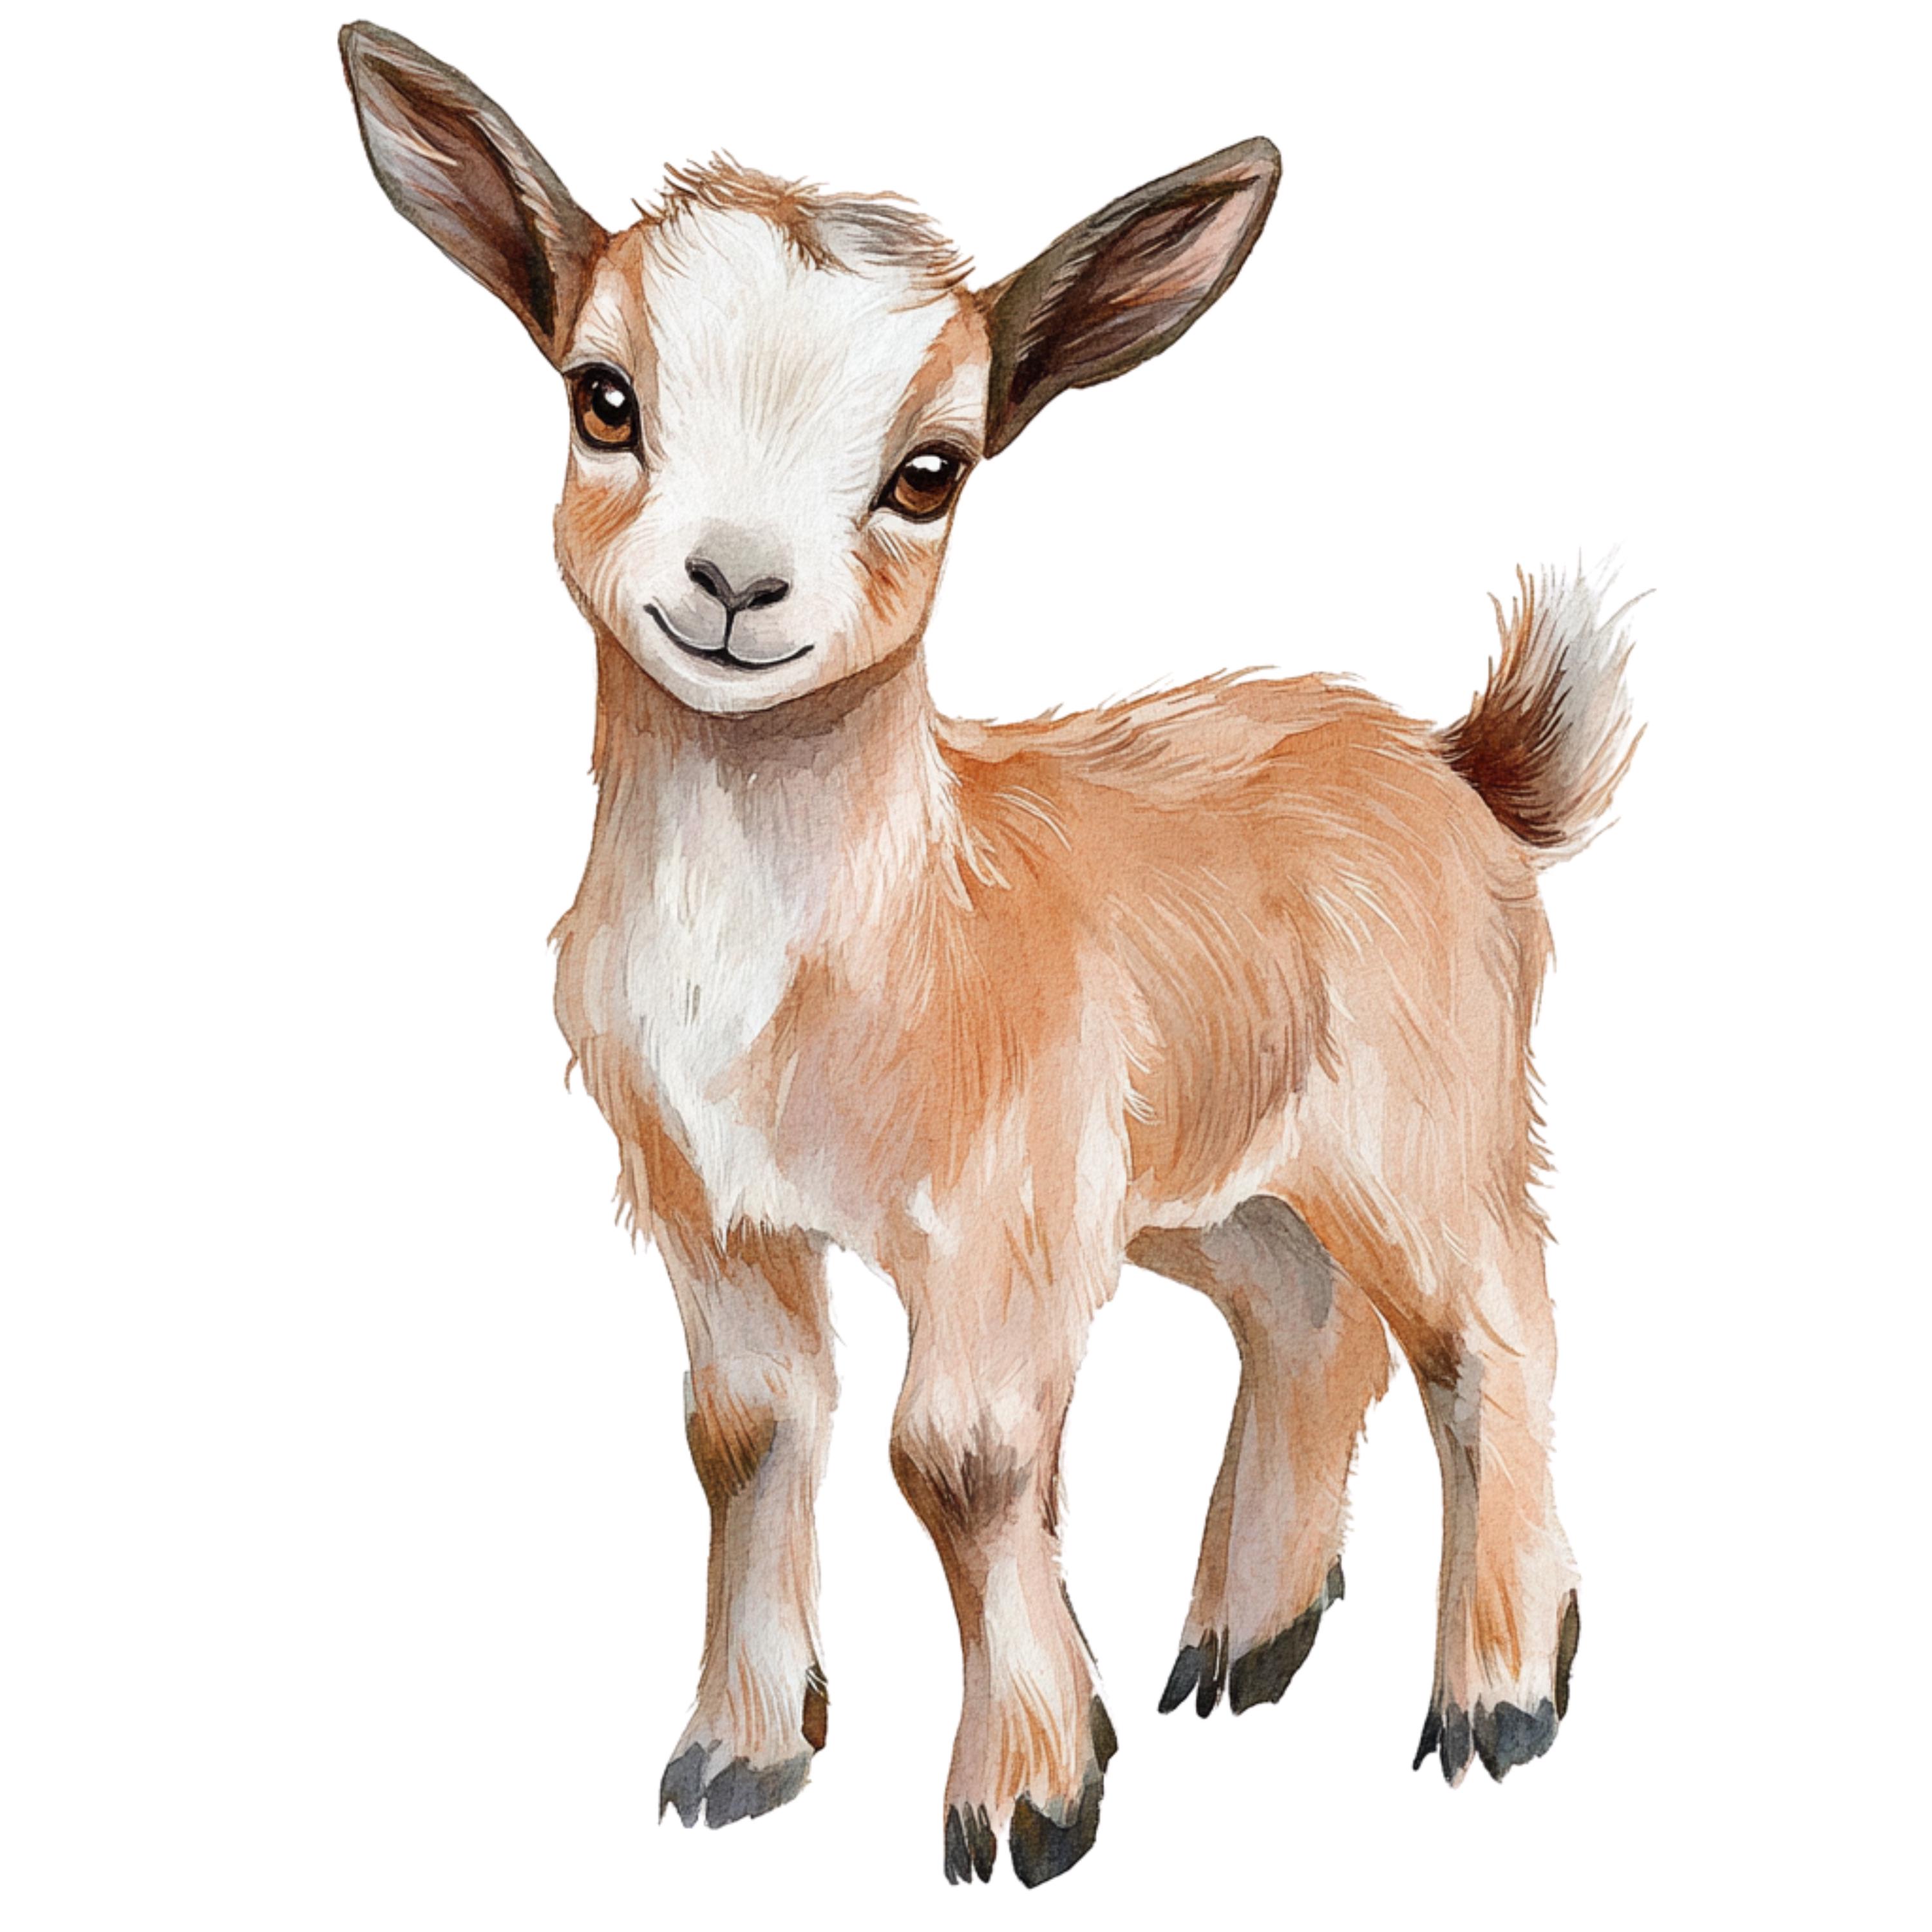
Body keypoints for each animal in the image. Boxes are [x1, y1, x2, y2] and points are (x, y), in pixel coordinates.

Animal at [341, 21, 1637, 1888]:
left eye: (931, 468)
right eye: (604, 396)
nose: (733, 584)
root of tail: (1459, 761)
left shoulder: (998, 1208)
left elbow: (957, 1456)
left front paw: (1027, 1796)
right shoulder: (706, 1201)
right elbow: (746, 1431)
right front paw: (738, 1756)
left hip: (1423, 1117)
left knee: (1491, 1333)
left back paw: (1500, 1693)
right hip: (1206, 1171)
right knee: (1306, 1314)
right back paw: (1244, 1638)